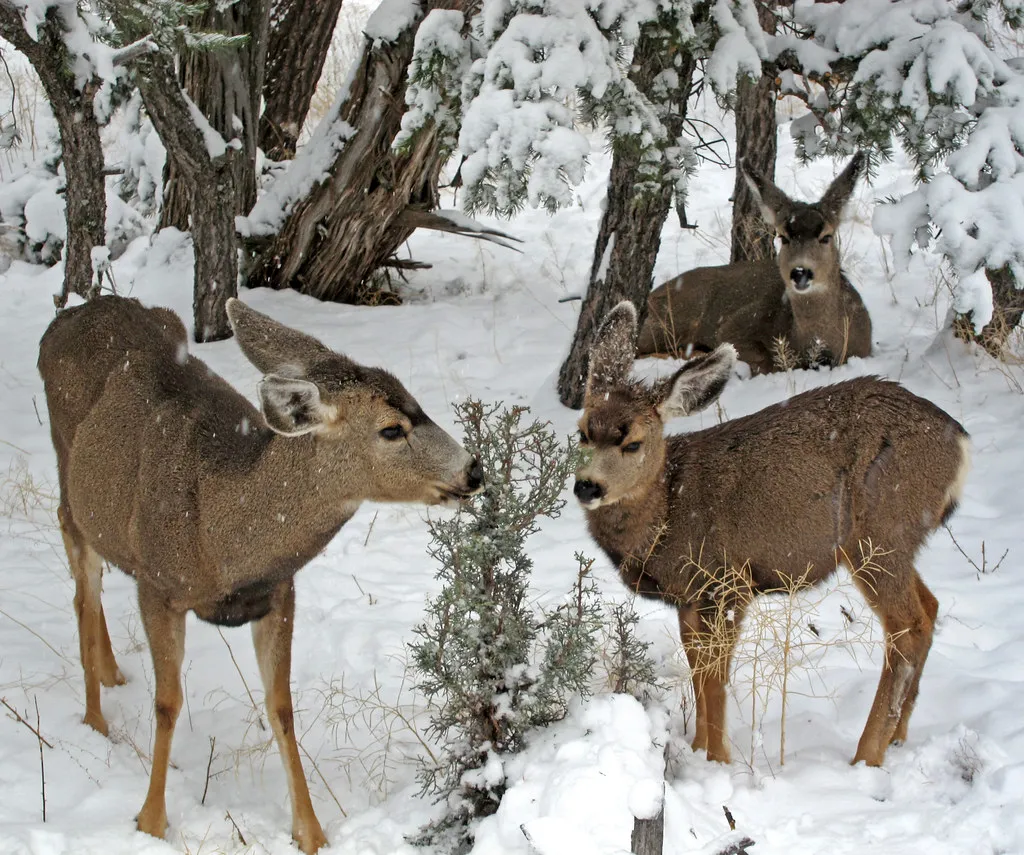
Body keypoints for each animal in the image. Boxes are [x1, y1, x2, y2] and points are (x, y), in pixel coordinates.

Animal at [37, 295, 483, 854]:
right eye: (391, 428)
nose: (474, 470)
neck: (221, 540)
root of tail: (63, 319)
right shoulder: (158, 586)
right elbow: (167, 703)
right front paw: (151, 820)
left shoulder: (278, 593)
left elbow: (281, 706)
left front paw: (311, 832)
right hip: (69, 484)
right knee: (82, 586)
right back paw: (96, 720)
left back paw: (113, 672)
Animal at [575, 301, 969, 768]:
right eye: (583, 431)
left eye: (632, 443)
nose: (587, 486)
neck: (668, 510)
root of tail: (961, 444)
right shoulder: (690, 598)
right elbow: (697, 670)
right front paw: (697, 750)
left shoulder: (726, 581)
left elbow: (714, 679)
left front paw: (717, 761)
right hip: (897, 542)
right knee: (930, 606)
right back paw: (897, 738)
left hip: (879, 533)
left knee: (908, 626)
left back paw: (866, 755)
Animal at [636, 152, 873, 374]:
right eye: (783, 237)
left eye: (826, 237)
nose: (800, 272)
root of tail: (650, 296)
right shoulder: (735, 325)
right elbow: (765, 361)